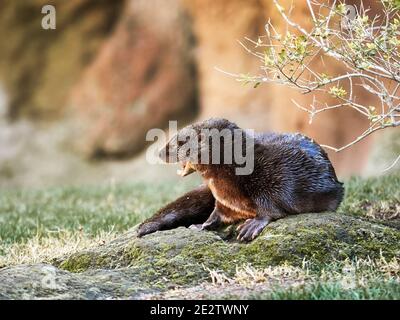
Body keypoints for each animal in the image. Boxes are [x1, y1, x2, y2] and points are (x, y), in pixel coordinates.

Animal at [138, 119, 344, 241]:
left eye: (180, 142)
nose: (160, 152)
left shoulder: (273, 179)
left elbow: (272, 205)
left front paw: (253, 225)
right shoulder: (224, 200)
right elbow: (217, 214)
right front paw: (201, 225)